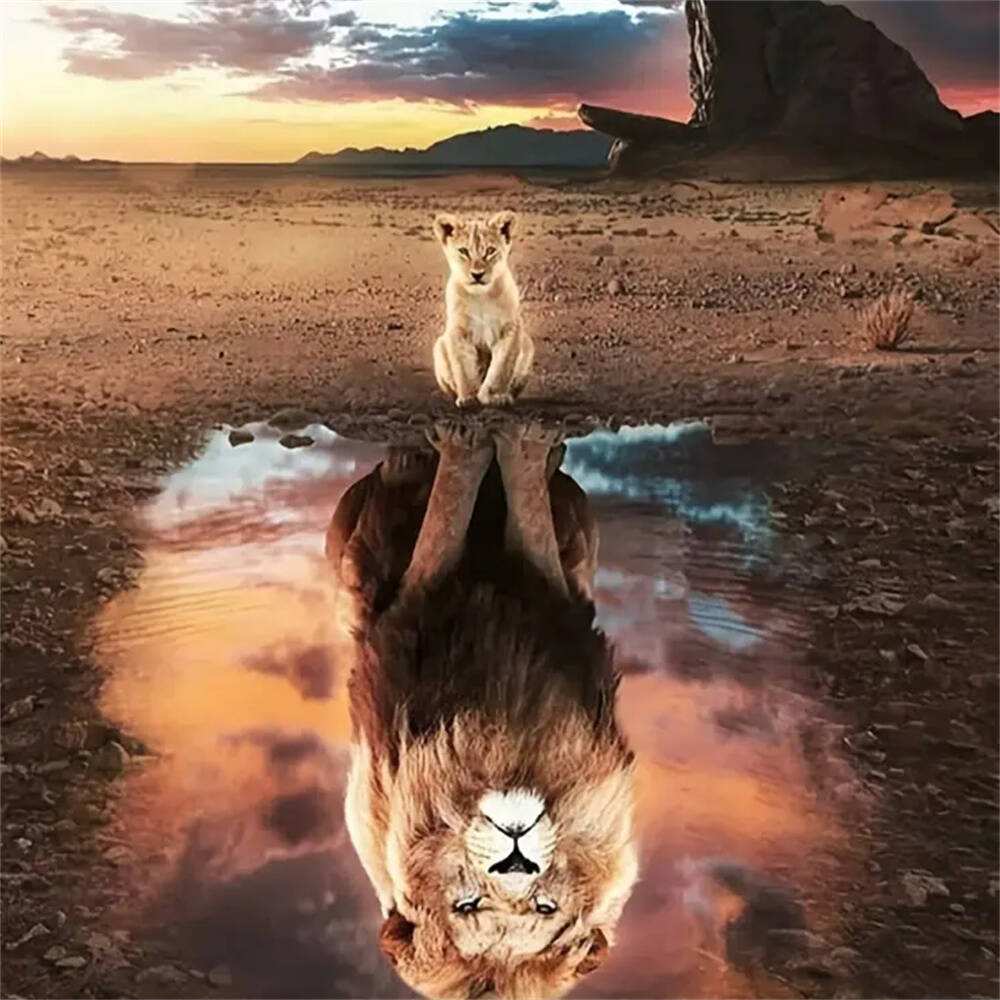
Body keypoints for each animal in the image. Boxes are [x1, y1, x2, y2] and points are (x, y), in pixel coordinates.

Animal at [326, 422, 638, 999]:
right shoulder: (414, 601)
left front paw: (520, 444)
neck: (501, 748)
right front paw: (470, 441)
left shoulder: (557, 594)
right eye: (466, 904)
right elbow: (450, 513)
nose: (515, 854)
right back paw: (411, 459)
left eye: (545, 906)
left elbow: (525, 517)